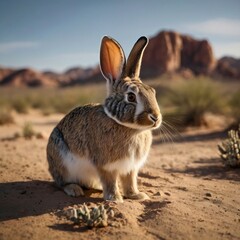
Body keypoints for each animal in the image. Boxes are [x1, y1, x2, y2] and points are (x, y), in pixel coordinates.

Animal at [47, 35, 162, 202]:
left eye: (152, 92)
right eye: (131, 97)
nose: (156, 118)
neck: (130, 129)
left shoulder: (131, 167)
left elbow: (130, 181)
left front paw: (137, 195)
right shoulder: (106, 165)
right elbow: (110, 181)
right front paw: (115, 199)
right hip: (61, 162)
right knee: (62, 183)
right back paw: (74, 189)